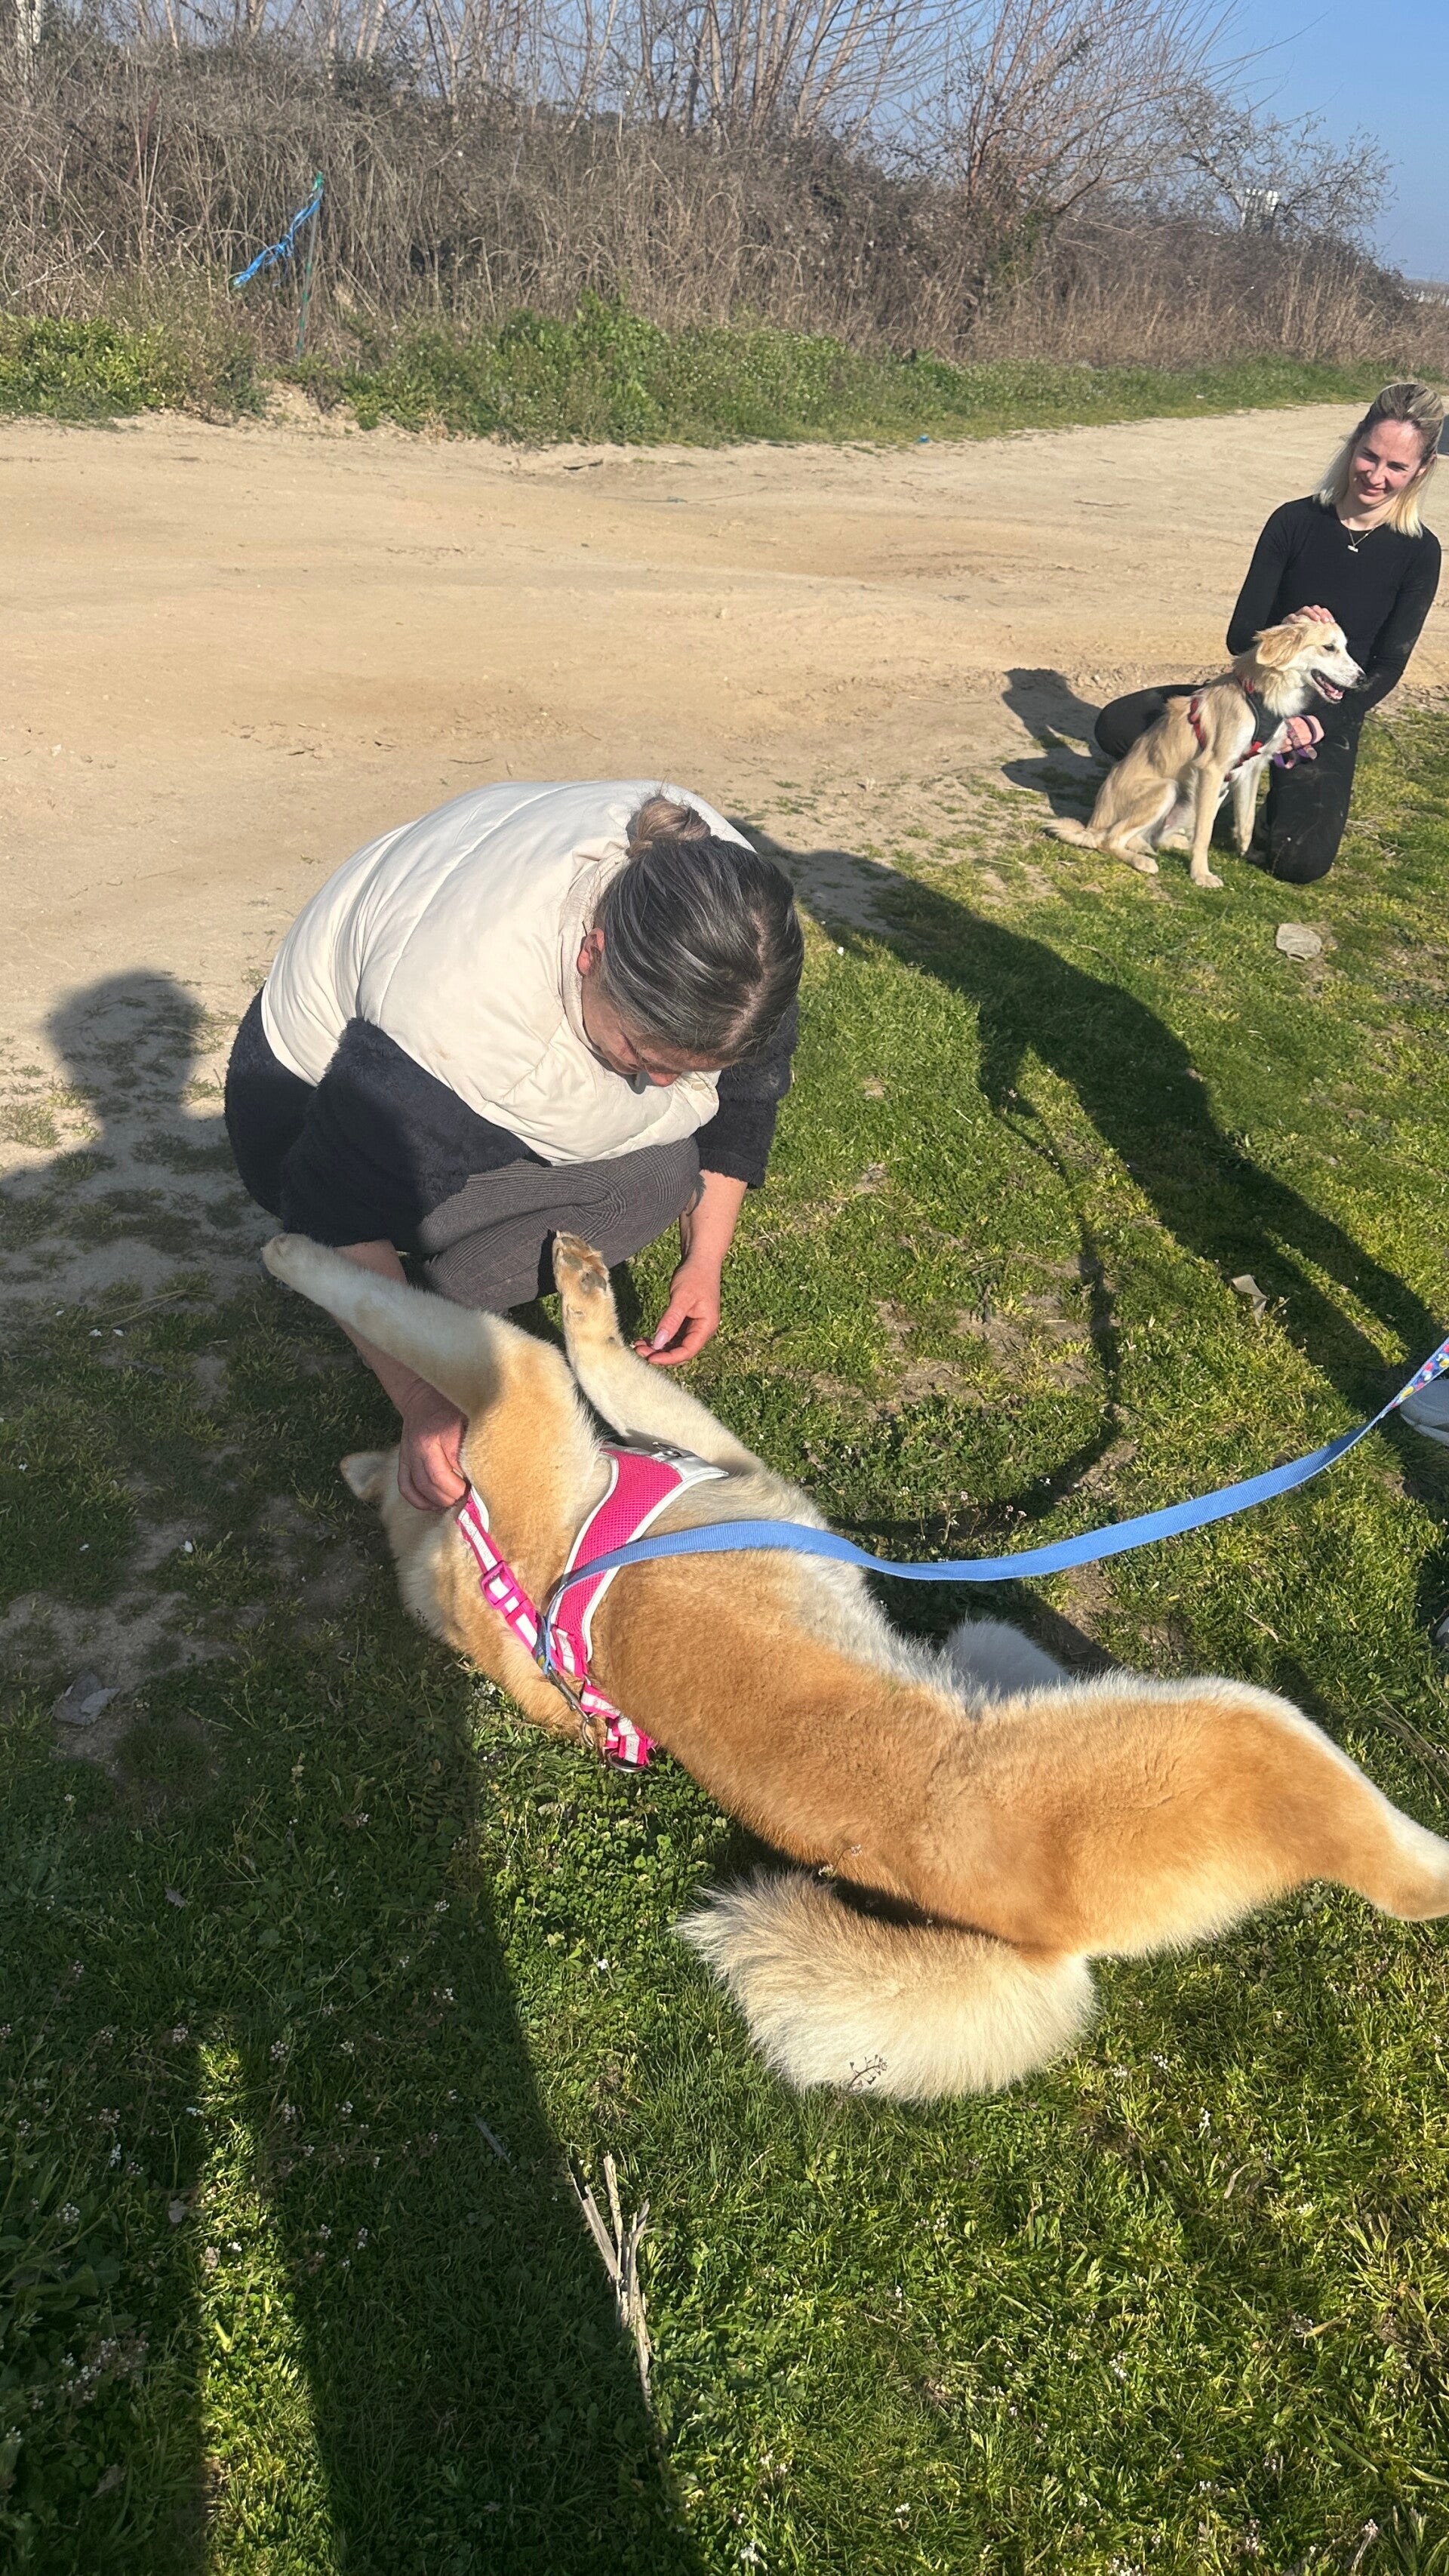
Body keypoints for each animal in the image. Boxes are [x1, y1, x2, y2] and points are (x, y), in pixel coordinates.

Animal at [262, 1229, 1449, 2101]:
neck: (500, 1572)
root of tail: (1044, 1948)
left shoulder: (702, 1449)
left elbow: (602, 1359)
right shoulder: (538, 1389)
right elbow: (509, 1336)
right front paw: (295, 1253)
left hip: (987, 1646)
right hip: (1248, 1728)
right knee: (1412, 1882)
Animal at [1045, 614, 1362, 888]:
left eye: (1347, 647)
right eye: (1329, 647)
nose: (1363, 679)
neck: (1261, 695)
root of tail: (1092, 825)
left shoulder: (1250, 770)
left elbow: (1246, 821)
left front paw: (1246, 853)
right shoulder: (1213, 768)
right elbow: (1206, 834)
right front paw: (1201, 874)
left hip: (1208, 793)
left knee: (1152, 837)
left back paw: (1164, 844)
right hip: (1168, 789)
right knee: (1109, 841)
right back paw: (1141, 859)